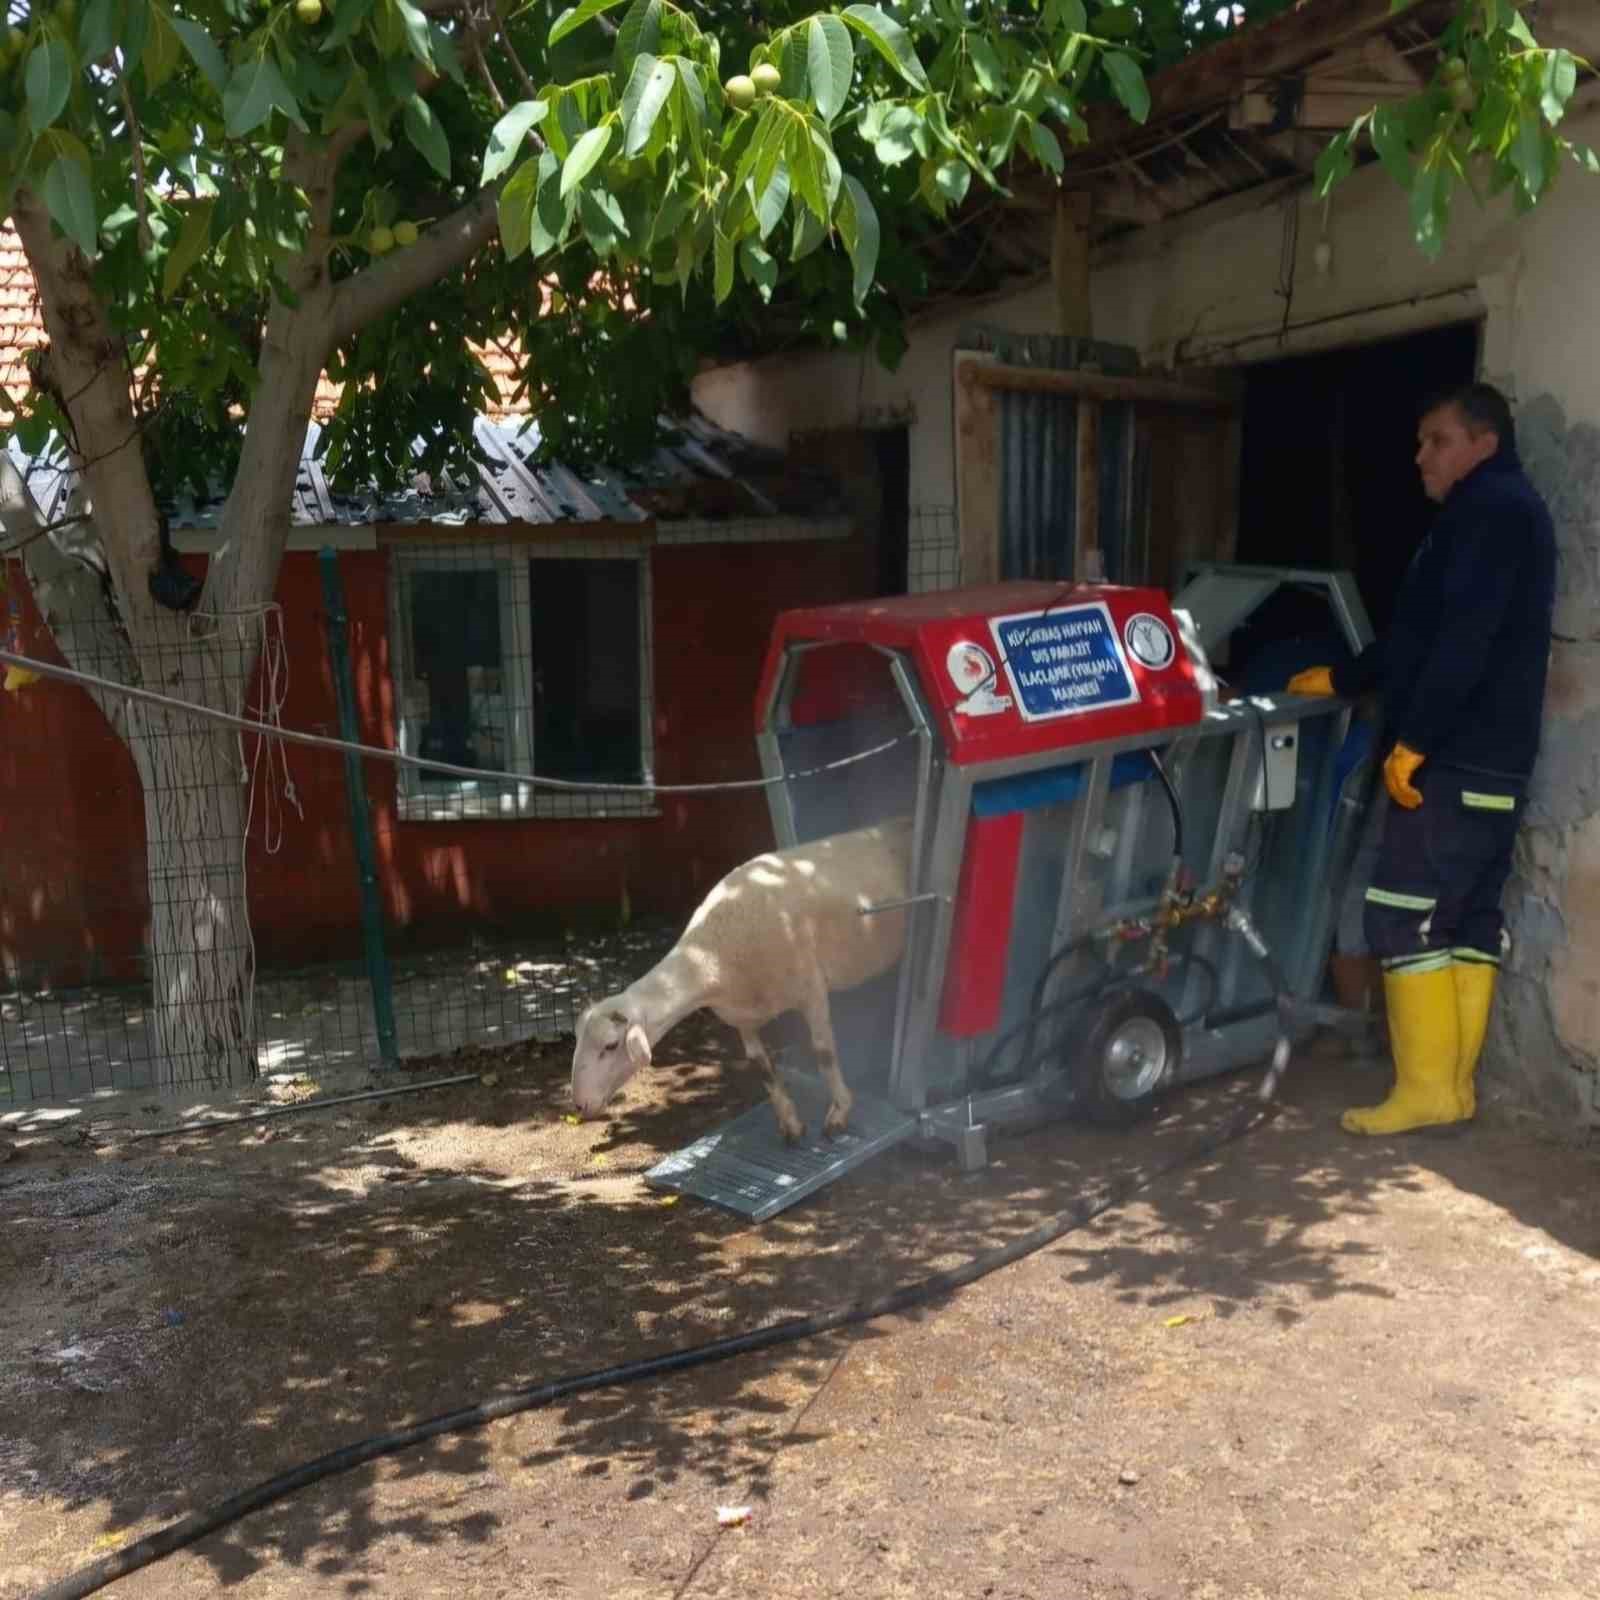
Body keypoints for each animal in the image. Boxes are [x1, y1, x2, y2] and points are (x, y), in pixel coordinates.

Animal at [569, 819, 915, 1145]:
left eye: (610, 1045)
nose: (579, 1105)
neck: (710, 957)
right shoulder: (743, 1018)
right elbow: (762, 1068)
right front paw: (791, 1125)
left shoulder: (811, 990)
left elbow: (823, 1053)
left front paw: (839, 1113)